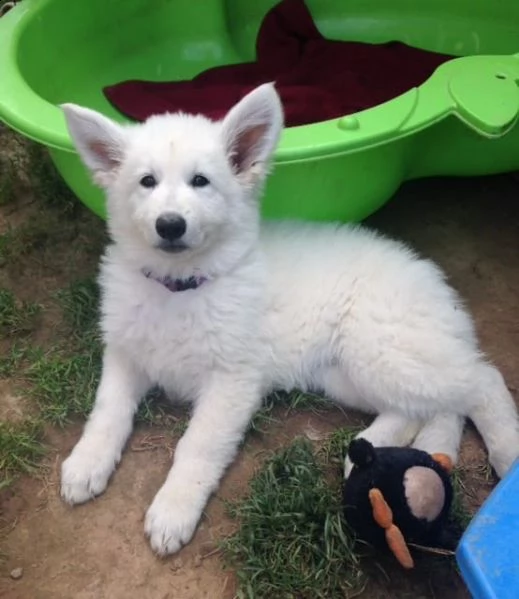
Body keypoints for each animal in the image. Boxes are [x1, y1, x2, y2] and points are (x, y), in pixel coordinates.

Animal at [60, 84, 519, 556]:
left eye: (200, 181)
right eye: (146, 182)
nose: (170, 225)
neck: (182, 286)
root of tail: (437, 284)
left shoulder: (232, 381)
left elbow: (197, 446)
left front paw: (174, 509)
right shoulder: (125, 353)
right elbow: (107, 409)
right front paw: (87, 462)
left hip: (382, 350)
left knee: (481, 380)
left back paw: (506, 450)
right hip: (346, 373)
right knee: (424, 409)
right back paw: (372, 454)